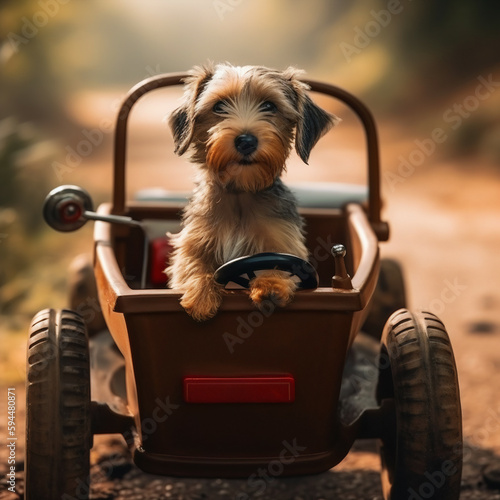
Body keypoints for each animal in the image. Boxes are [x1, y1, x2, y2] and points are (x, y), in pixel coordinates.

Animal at [168, 62, 340, 320]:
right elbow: (191, 265)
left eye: (269, 106)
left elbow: (278, 262)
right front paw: (201, 293)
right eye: (219, 106)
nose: (246, 141)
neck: (240, 193)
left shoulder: (284, 245)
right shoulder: (193, 242)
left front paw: (270, 283)